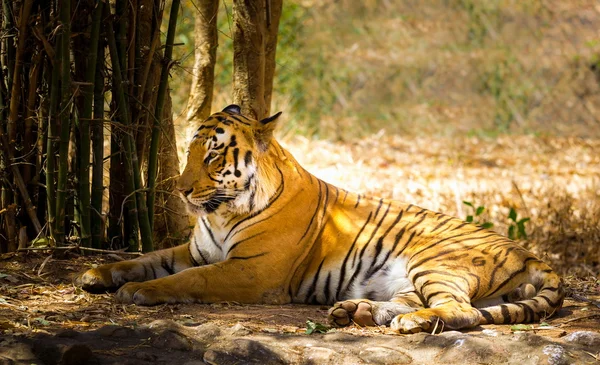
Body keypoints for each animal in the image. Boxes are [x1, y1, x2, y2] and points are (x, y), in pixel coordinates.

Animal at [77, 104, 564, 332]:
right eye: (191, 150)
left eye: (213, 155)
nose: (179, 189)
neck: (220, 213)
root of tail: (529, 253)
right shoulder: (195, 250)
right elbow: (145, 257)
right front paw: (96, 273)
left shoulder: (250, 271)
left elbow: (187, 279)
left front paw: (138, 292)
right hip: (413, 277)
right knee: (426, 303)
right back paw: (356, 311)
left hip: (435, 262)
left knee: (462, 311)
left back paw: (400, 322)